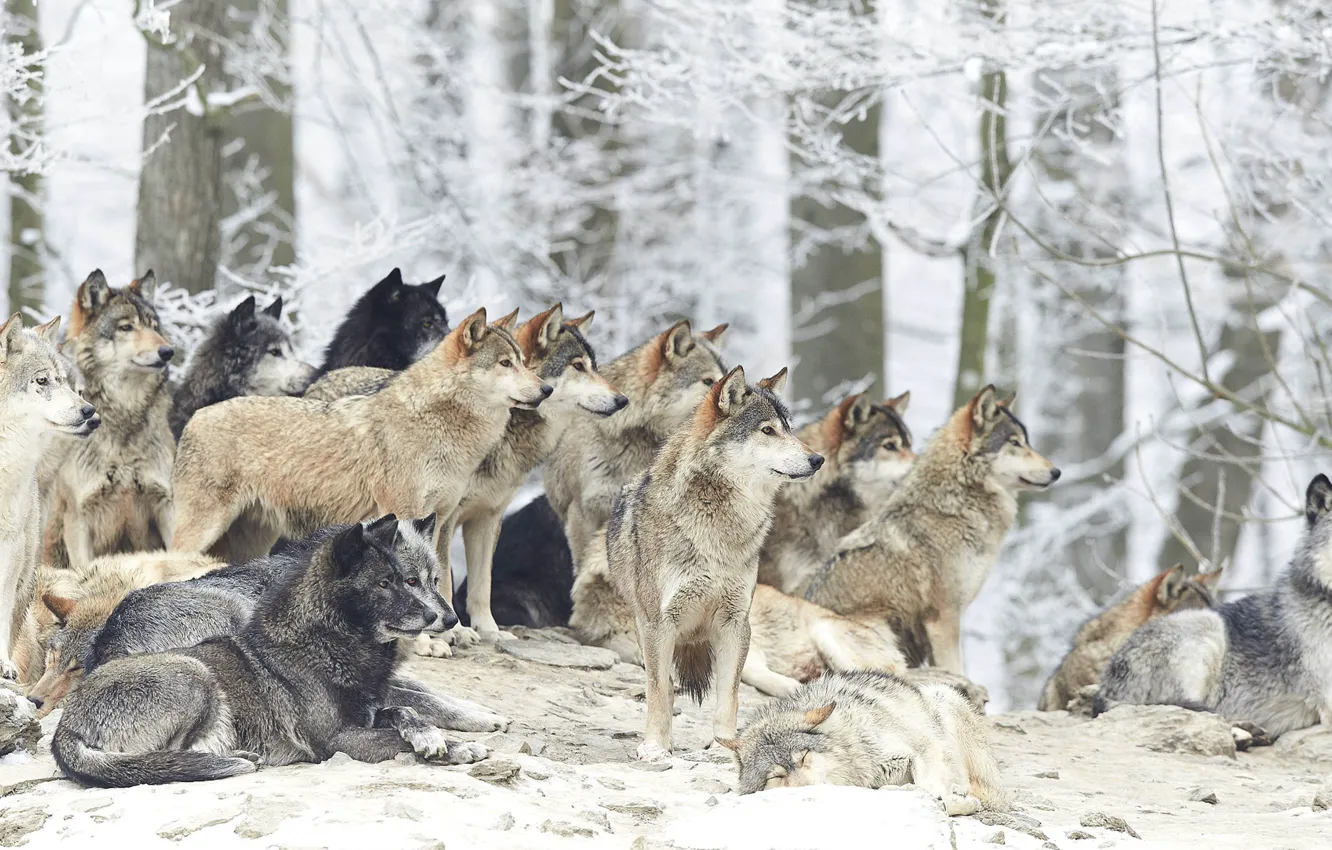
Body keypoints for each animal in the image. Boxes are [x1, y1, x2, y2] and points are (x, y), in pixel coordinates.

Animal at [44, 270, 176, 569]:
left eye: (154, 326)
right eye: (126, 327)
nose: (168, 352)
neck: (124, 415)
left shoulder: (166, 505)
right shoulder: (79, 517)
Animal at [52, 514, 493, 788]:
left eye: (431, 580)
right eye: (393, 582)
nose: (447, 618)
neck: (330, 645)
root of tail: (65, 728)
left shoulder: (370, 710)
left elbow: (408, 709)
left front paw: (439, 733)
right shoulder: (338, 740)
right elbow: (404, 723)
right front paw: (464, 736)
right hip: (196, 670)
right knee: (165, 761)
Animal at [607, 366, 823, 760]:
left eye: (789, 428)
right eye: (767, 430)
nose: (818, 459)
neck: (718, 529)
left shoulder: (735, 623)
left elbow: (729, 697)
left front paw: (724, 746)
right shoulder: (658, 624)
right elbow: (659, 692)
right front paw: (655, 747)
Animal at [715, 670, 1006, 815]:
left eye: (804, 757)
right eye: (776, 776)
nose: (808, 790)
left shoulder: (923, 746)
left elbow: (931, 784)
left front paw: (950, 798)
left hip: (941, 695)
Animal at [802, 386, 1059, 674]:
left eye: (1027, 441)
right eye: (1015, 443)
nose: (1056, 472)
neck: (957, 505)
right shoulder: (944, 620)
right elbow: (957, 670)